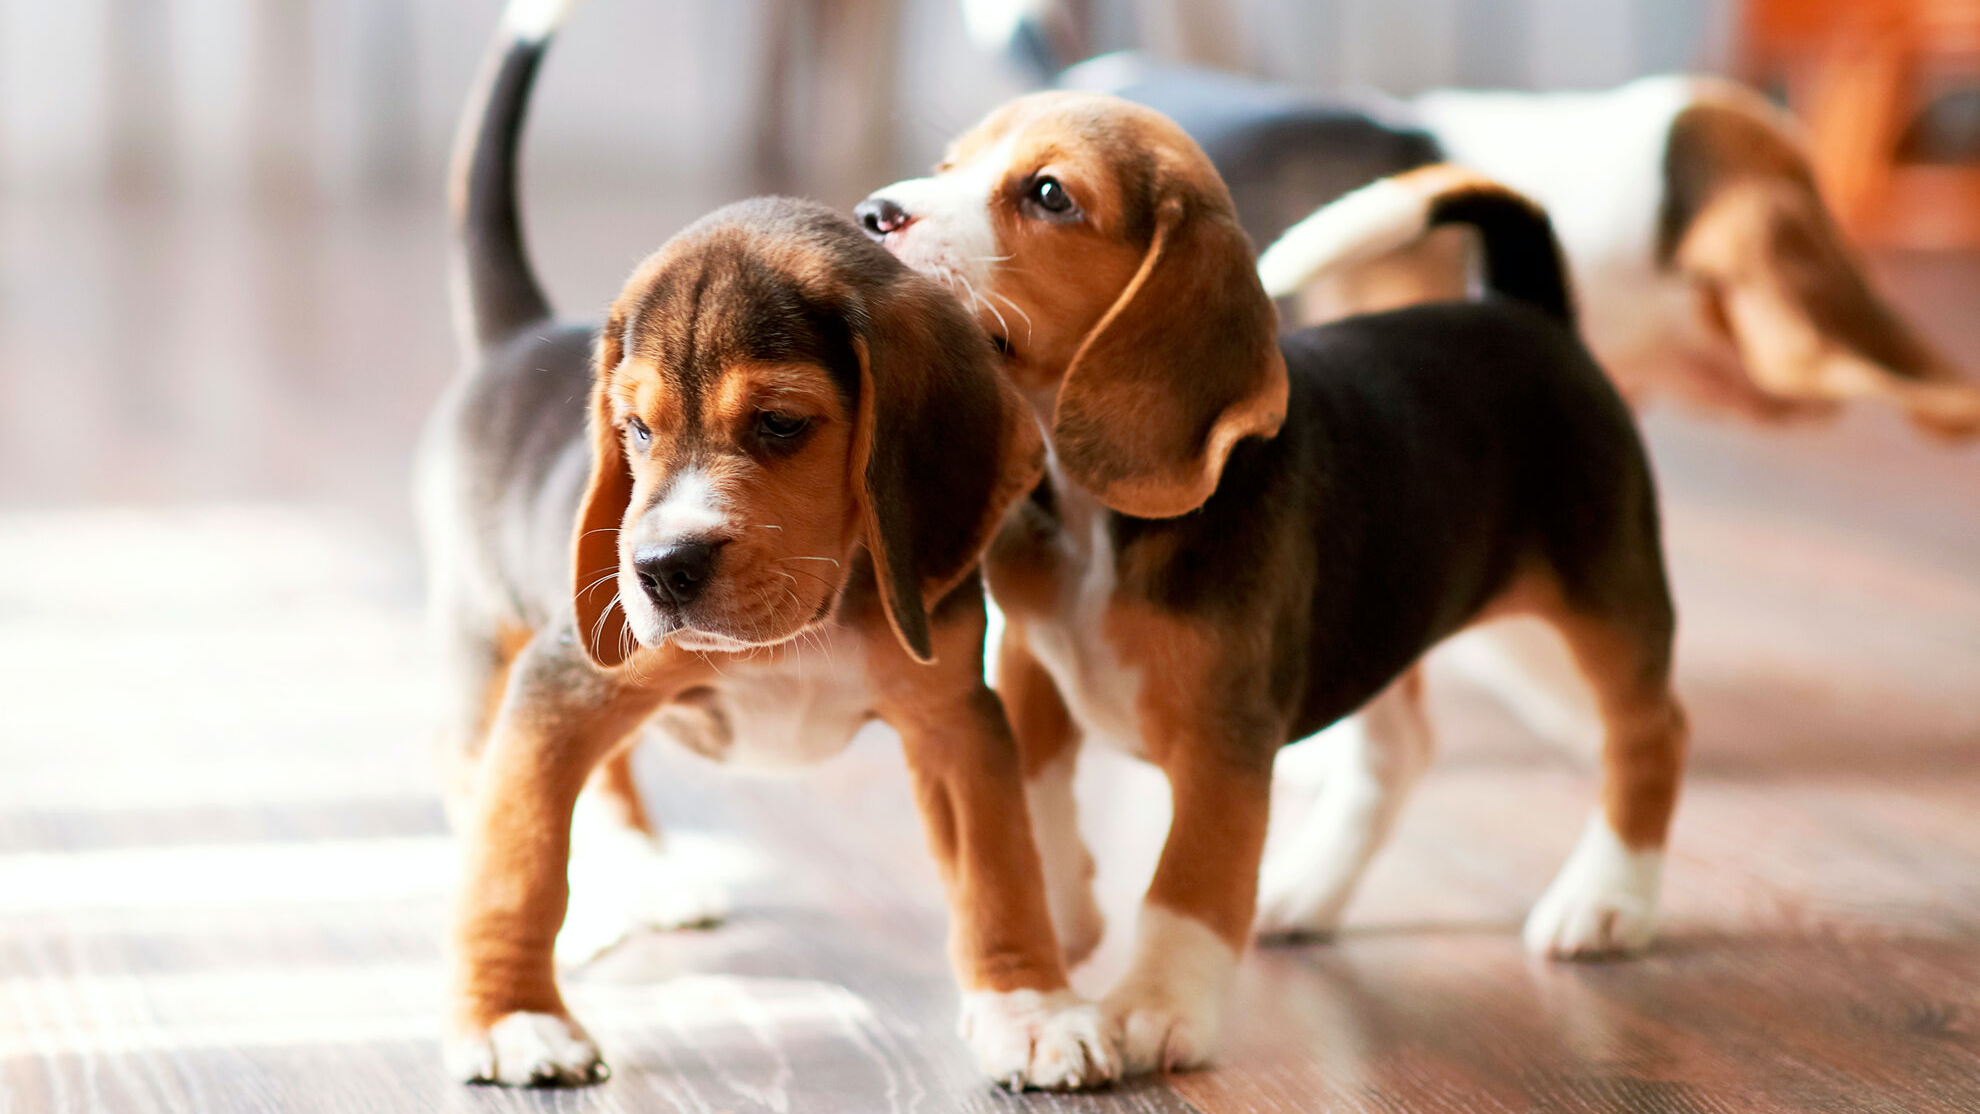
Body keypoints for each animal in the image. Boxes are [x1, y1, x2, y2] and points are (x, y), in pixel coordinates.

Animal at [413, 0, 1116, 1092]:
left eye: (782, 424)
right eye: (635, 431)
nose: (660, 570)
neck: (807, 622)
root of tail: (517, 338)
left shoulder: (955, 716)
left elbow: (1002, 870)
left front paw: (1029, 1005)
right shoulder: (560, 683)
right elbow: (516, 860)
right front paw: (510, 1017)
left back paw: (645, 872)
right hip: (491, 652)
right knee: (485, 789)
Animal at [855, 100, 1686, 1076]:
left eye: (1050, 194)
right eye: (950, 165)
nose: (873, 216)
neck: (1094, 513)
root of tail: (1529, 313)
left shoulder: (1226, 737)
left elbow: (1187, 884)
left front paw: (1156, 1005)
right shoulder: (1029, 658)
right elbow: (1037, 800)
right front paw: (1061, 912)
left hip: (1601, 606)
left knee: (1650, 734)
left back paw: (1608, 899)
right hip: (1378, 614)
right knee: (1399, 752)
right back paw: (1308, 890)